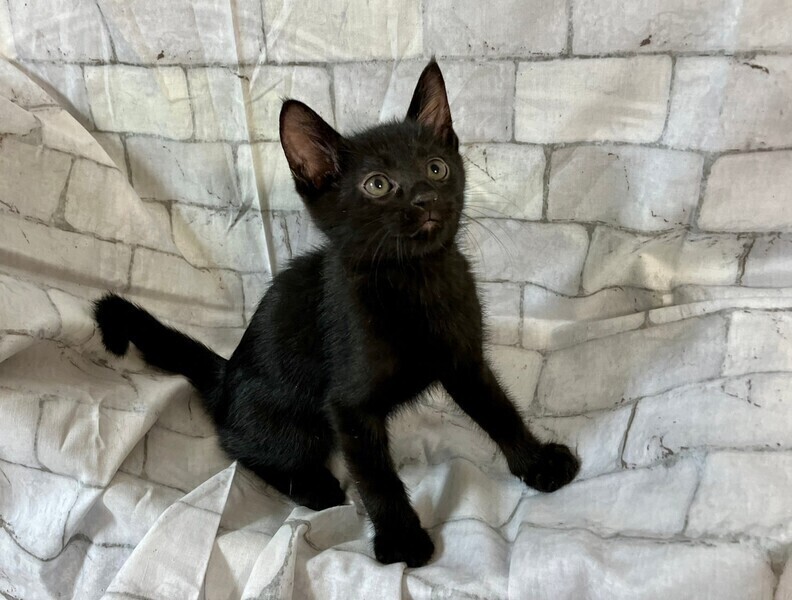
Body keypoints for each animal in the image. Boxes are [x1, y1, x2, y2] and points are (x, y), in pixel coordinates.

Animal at [93, 59, 580, 568]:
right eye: (378, 185)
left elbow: (499, 410)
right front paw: (402, 539)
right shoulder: (349, 407)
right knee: (240, 446)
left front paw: (538, 462)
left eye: (436, 167)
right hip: (294, 426)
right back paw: (312, 485)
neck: (413, 281)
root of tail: (225, 380)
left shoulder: (463, 360)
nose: (426, 197)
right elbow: (376, 475)